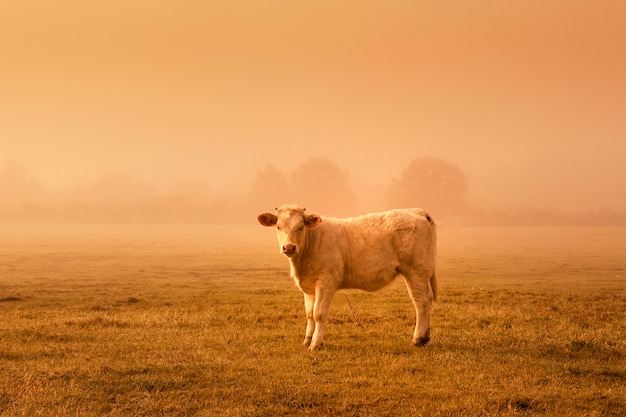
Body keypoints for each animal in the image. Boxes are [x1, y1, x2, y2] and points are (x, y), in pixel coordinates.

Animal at [256, 203, 436, 350]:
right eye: (278, 226)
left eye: (300, 227)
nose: (289, 247)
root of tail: (418, 211)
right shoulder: (309, 287)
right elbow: (309, 314)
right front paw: (307, 340)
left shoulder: (326, 283)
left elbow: (318, 313)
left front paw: (316, 343)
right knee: (427, 299)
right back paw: (426, 337)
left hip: (416, 271)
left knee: (421, 302)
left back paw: (417, 339)